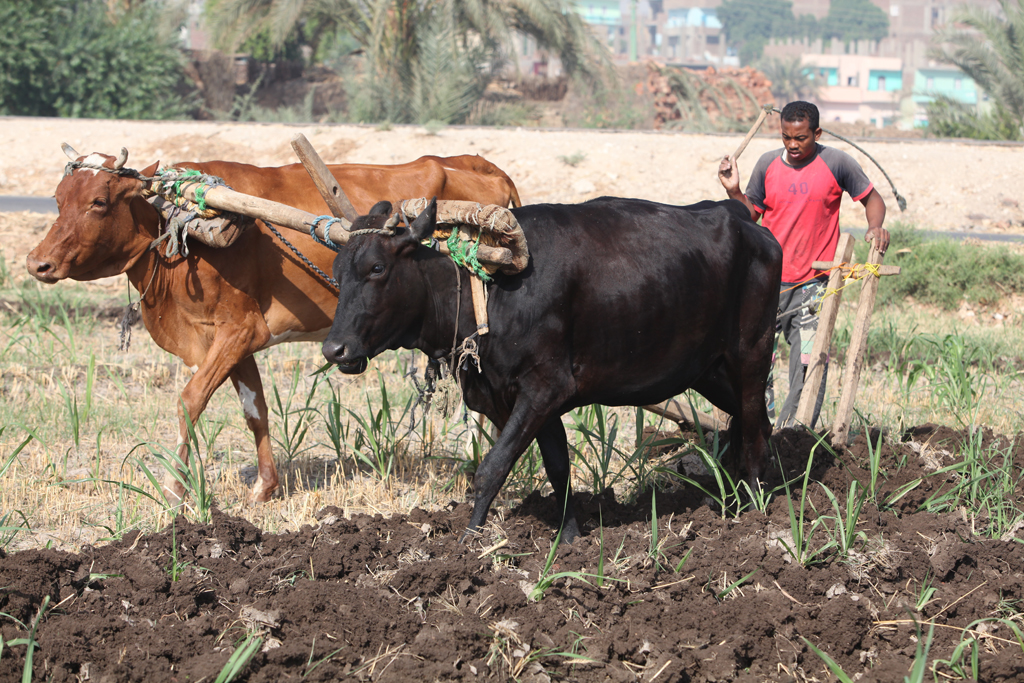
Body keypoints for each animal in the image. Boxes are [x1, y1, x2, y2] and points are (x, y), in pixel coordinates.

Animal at [25, 150, 520, 501]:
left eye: (99, 201)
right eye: (58, 200)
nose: (37, 263)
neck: (183, 231)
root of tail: (481, 164)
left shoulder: (237, 331)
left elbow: (188, 402)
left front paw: (174, 490)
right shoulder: (237, 341)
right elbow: (255, 410)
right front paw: (265, 487)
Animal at [323, 194, 778, 540]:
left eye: (377, 268)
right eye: (337, 272)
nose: (334, 349)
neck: (488, 291)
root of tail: (744, 219)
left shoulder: (544, 388)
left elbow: (492, 468)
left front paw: (470, 540)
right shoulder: (526, 401)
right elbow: (558, 467)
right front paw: (570, 537)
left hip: (752, 355)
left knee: (756, 428)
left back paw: (755, 511)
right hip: (709, 370)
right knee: (752, 422)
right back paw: (739, 495)